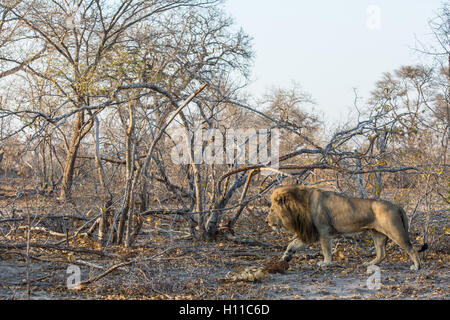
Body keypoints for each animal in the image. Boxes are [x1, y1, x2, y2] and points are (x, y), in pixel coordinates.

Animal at [268, 185, 426, 270]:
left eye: (271, 209)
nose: (266, 221)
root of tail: (397, 206)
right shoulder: (311, 232)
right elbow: (292, 244)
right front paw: (285, 257)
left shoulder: (323, 230)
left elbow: (326, 250)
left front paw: (325, 263)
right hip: (378, 234)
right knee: (382, 254)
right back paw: (369, 263)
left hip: (395, 231)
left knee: (411, 248)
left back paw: (417, 266)